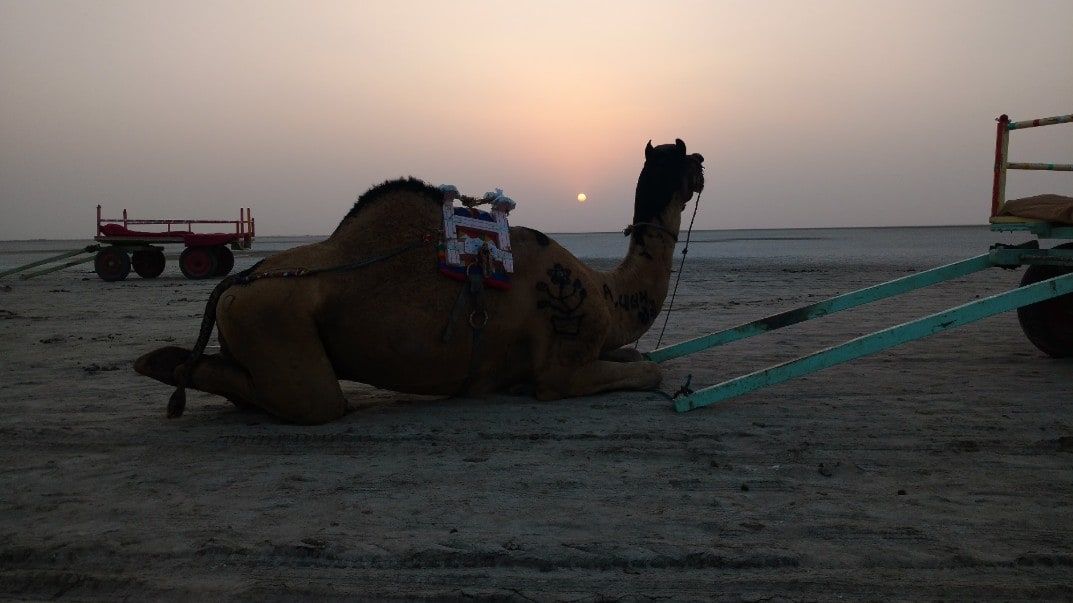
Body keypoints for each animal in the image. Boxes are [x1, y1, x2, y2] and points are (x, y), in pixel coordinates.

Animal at [134, 139, 705, 424]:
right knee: (316, 402)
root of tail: (232, 286)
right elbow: (647, 370)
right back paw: (158, 364)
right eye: (689, 160)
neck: (608, 292)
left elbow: (637, 355)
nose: (702, 166)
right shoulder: (562, 363)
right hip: (274, 323)